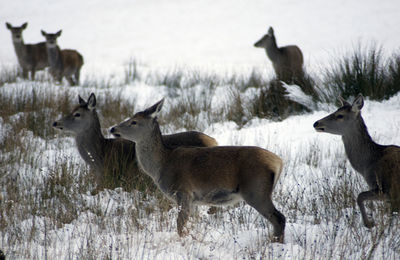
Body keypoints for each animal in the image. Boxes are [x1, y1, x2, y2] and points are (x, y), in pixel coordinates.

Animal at [52, 93, 219, 193]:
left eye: (77, 114)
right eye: (71, 110)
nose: (55, 122)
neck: (100, 157)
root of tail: (213, 141)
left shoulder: (113, 181)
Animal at [108, 99, 284, 242]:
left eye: (134, 122)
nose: (112, 129)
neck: (162, 165)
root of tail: (278, 162)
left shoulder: (183, 192)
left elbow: (180, 226)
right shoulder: (193, 201)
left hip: (255, 189)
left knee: (279, 218)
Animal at [314, 95, 400, 228]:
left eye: (340, 115)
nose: (316, 123)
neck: (369, 163)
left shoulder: (388, 190)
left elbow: (360, 196)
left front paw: (370, 223)